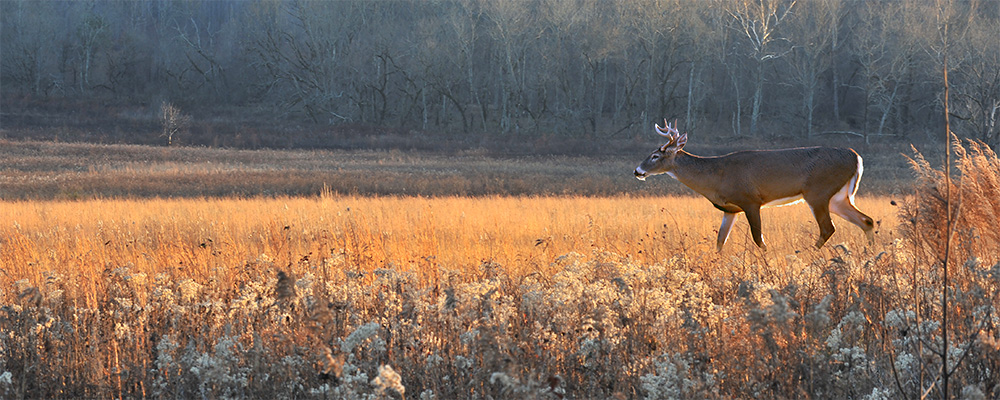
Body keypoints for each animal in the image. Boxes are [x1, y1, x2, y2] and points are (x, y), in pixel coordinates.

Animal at [634, 120, 875, 251]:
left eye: (655, 156)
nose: (637, 171)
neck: (717, 176)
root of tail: (856, 157)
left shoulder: (750, 200)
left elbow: (759, 239)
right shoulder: (730, 209)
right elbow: (720, 241)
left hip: (818, 192)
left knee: (828, 228)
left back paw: (807, 254)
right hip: (837, 198)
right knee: (867, 221)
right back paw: (870, 255)